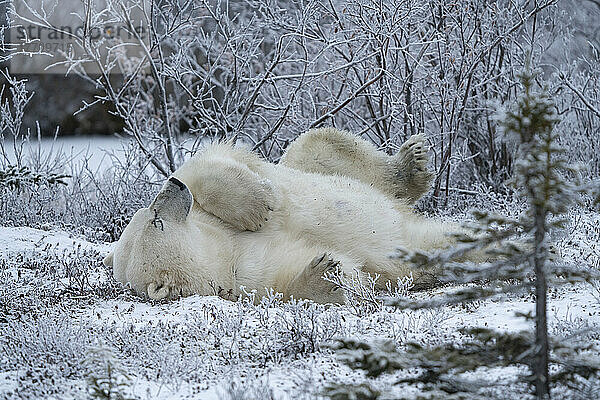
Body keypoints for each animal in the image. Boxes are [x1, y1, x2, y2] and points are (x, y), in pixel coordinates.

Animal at [103, 128, 476, 304]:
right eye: (156, 220)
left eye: (148, 213)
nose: (173, 186)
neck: (222, 249)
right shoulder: (244, 276)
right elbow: (298, 277)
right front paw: (324, 272)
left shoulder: (213, 220)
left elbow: (206, 163)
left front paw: (259, 205)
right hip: (415, 243)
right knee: (441, 248)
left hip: (315, 166)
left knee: (317, 145)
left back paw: (411, 164)